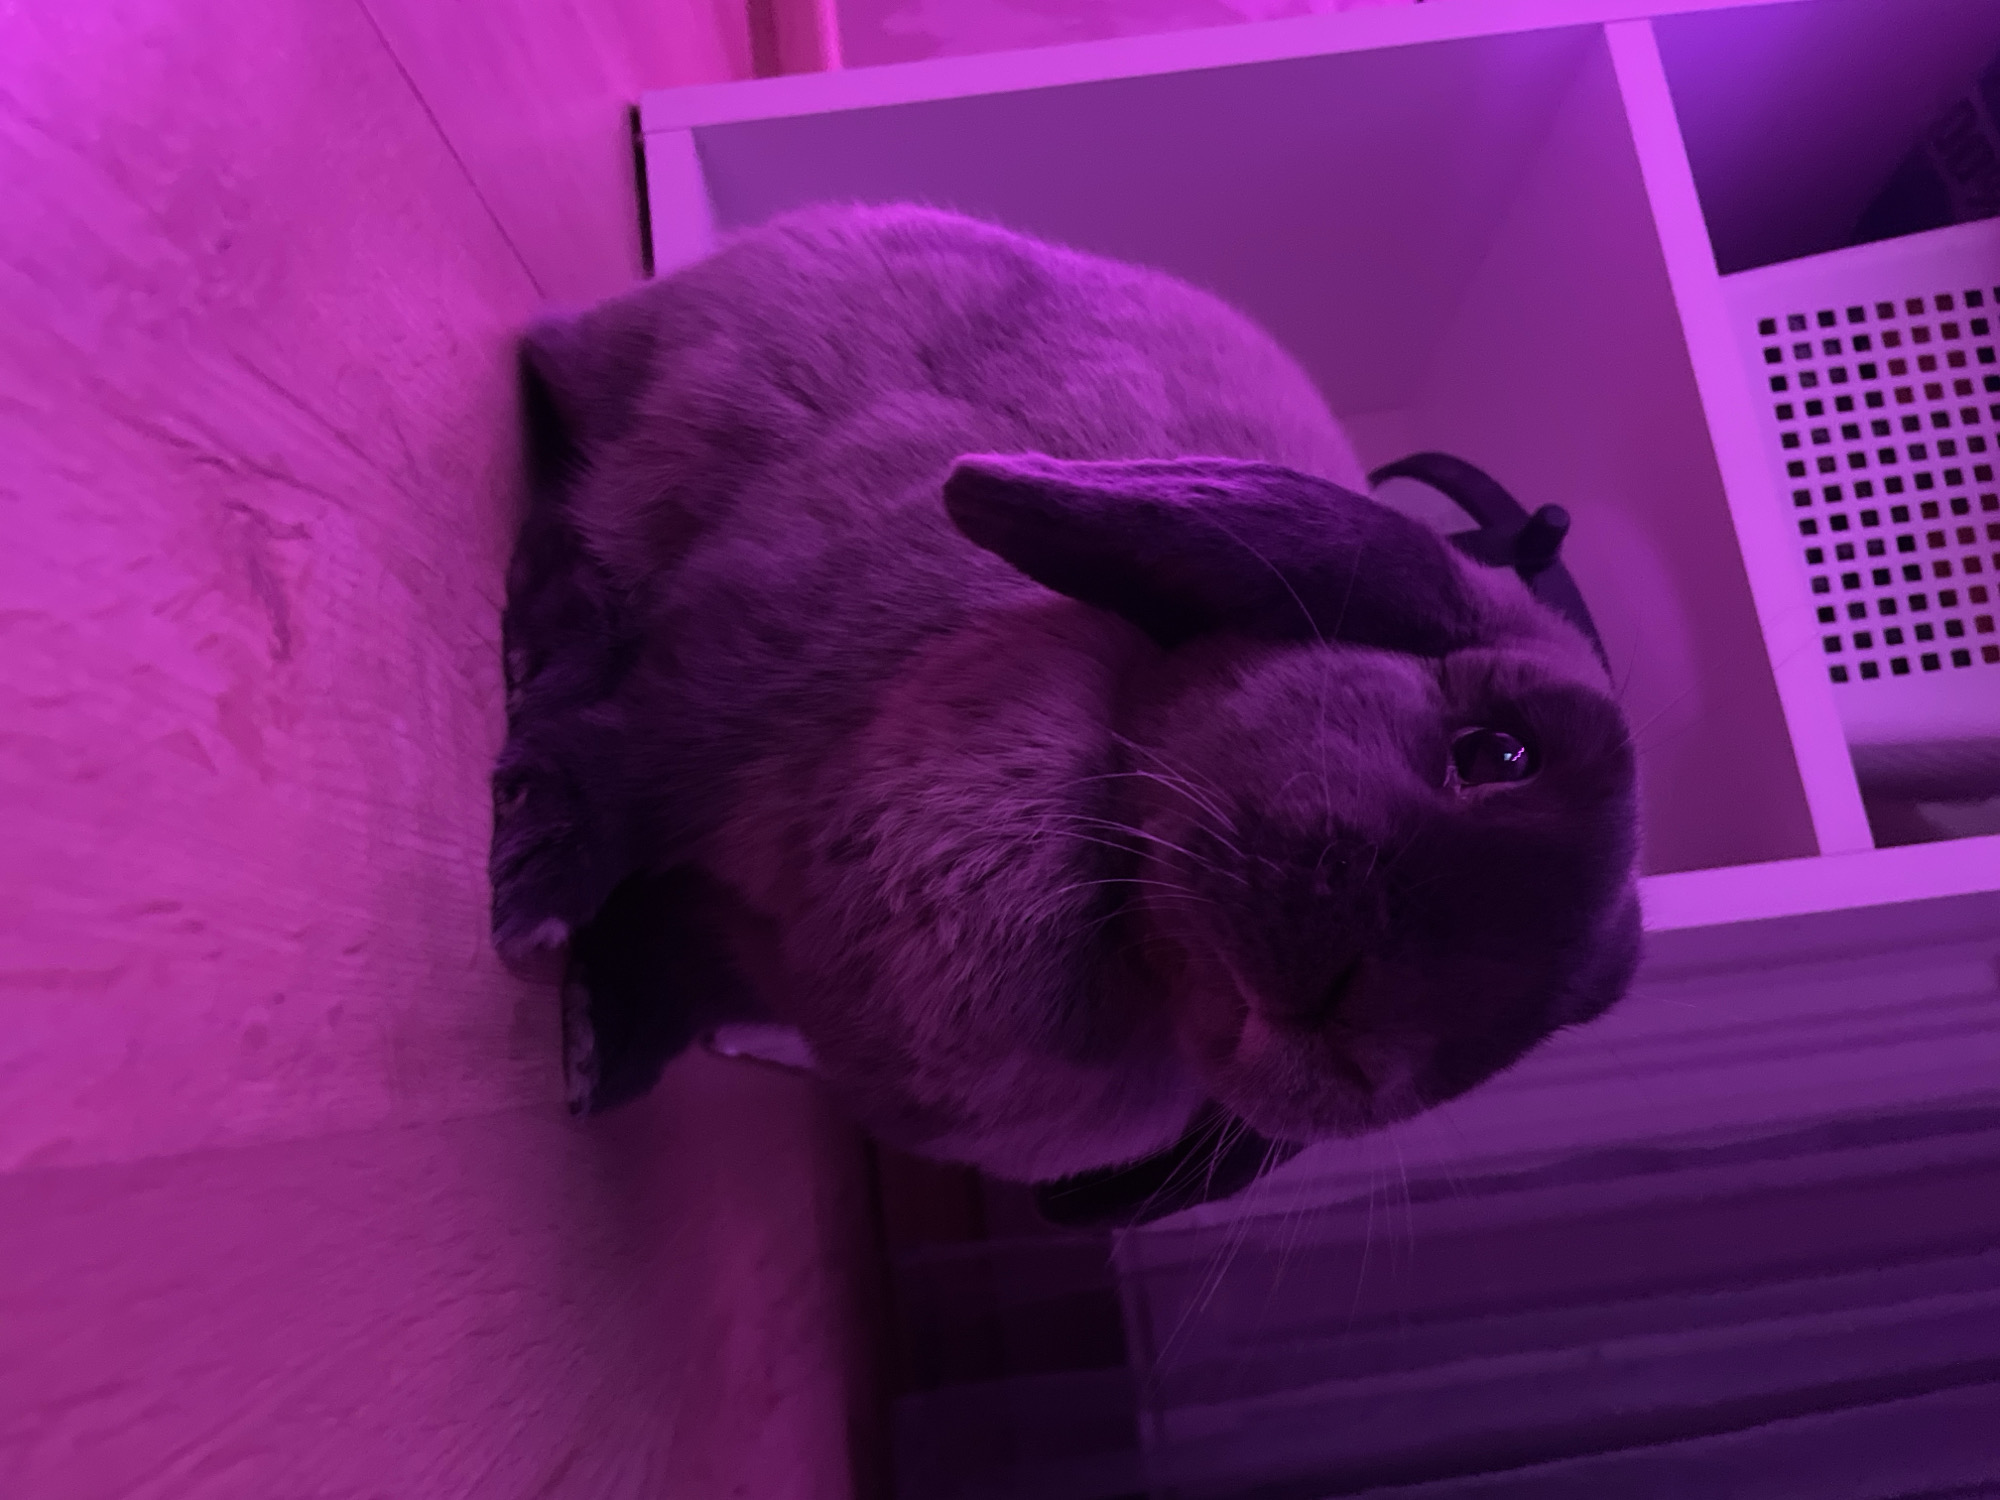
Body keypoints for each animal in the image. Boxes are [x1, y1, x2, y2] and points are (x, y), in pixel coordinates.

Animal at [490, 202, 1643, 1198]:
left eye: (1565, 1018)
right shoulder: (739, 674)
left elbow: (677, 974)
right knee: (565, 438)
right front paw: (529, 901)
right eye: (1497, 750)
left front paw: (596, 1047)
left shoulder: (749, 957)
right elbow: (626, 763)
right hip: (658, 394)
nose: (1358, 1034)